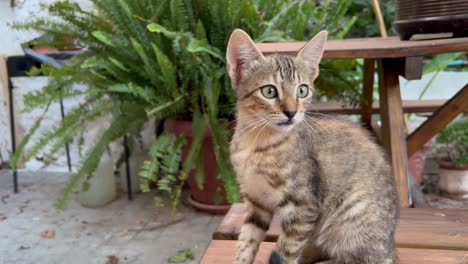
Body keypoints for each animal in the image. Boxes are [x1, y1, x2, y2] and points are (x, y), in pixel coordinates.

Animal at [227, 29, 398, 264]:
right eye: (269, 91)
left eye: (302, 91)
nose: (291, 112)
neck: (257, 142)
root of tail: (390, 249)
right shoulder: (256, 201)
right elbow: (246, 242)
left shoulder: (303, 206)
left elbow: (286, 253)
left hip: (352, 215)